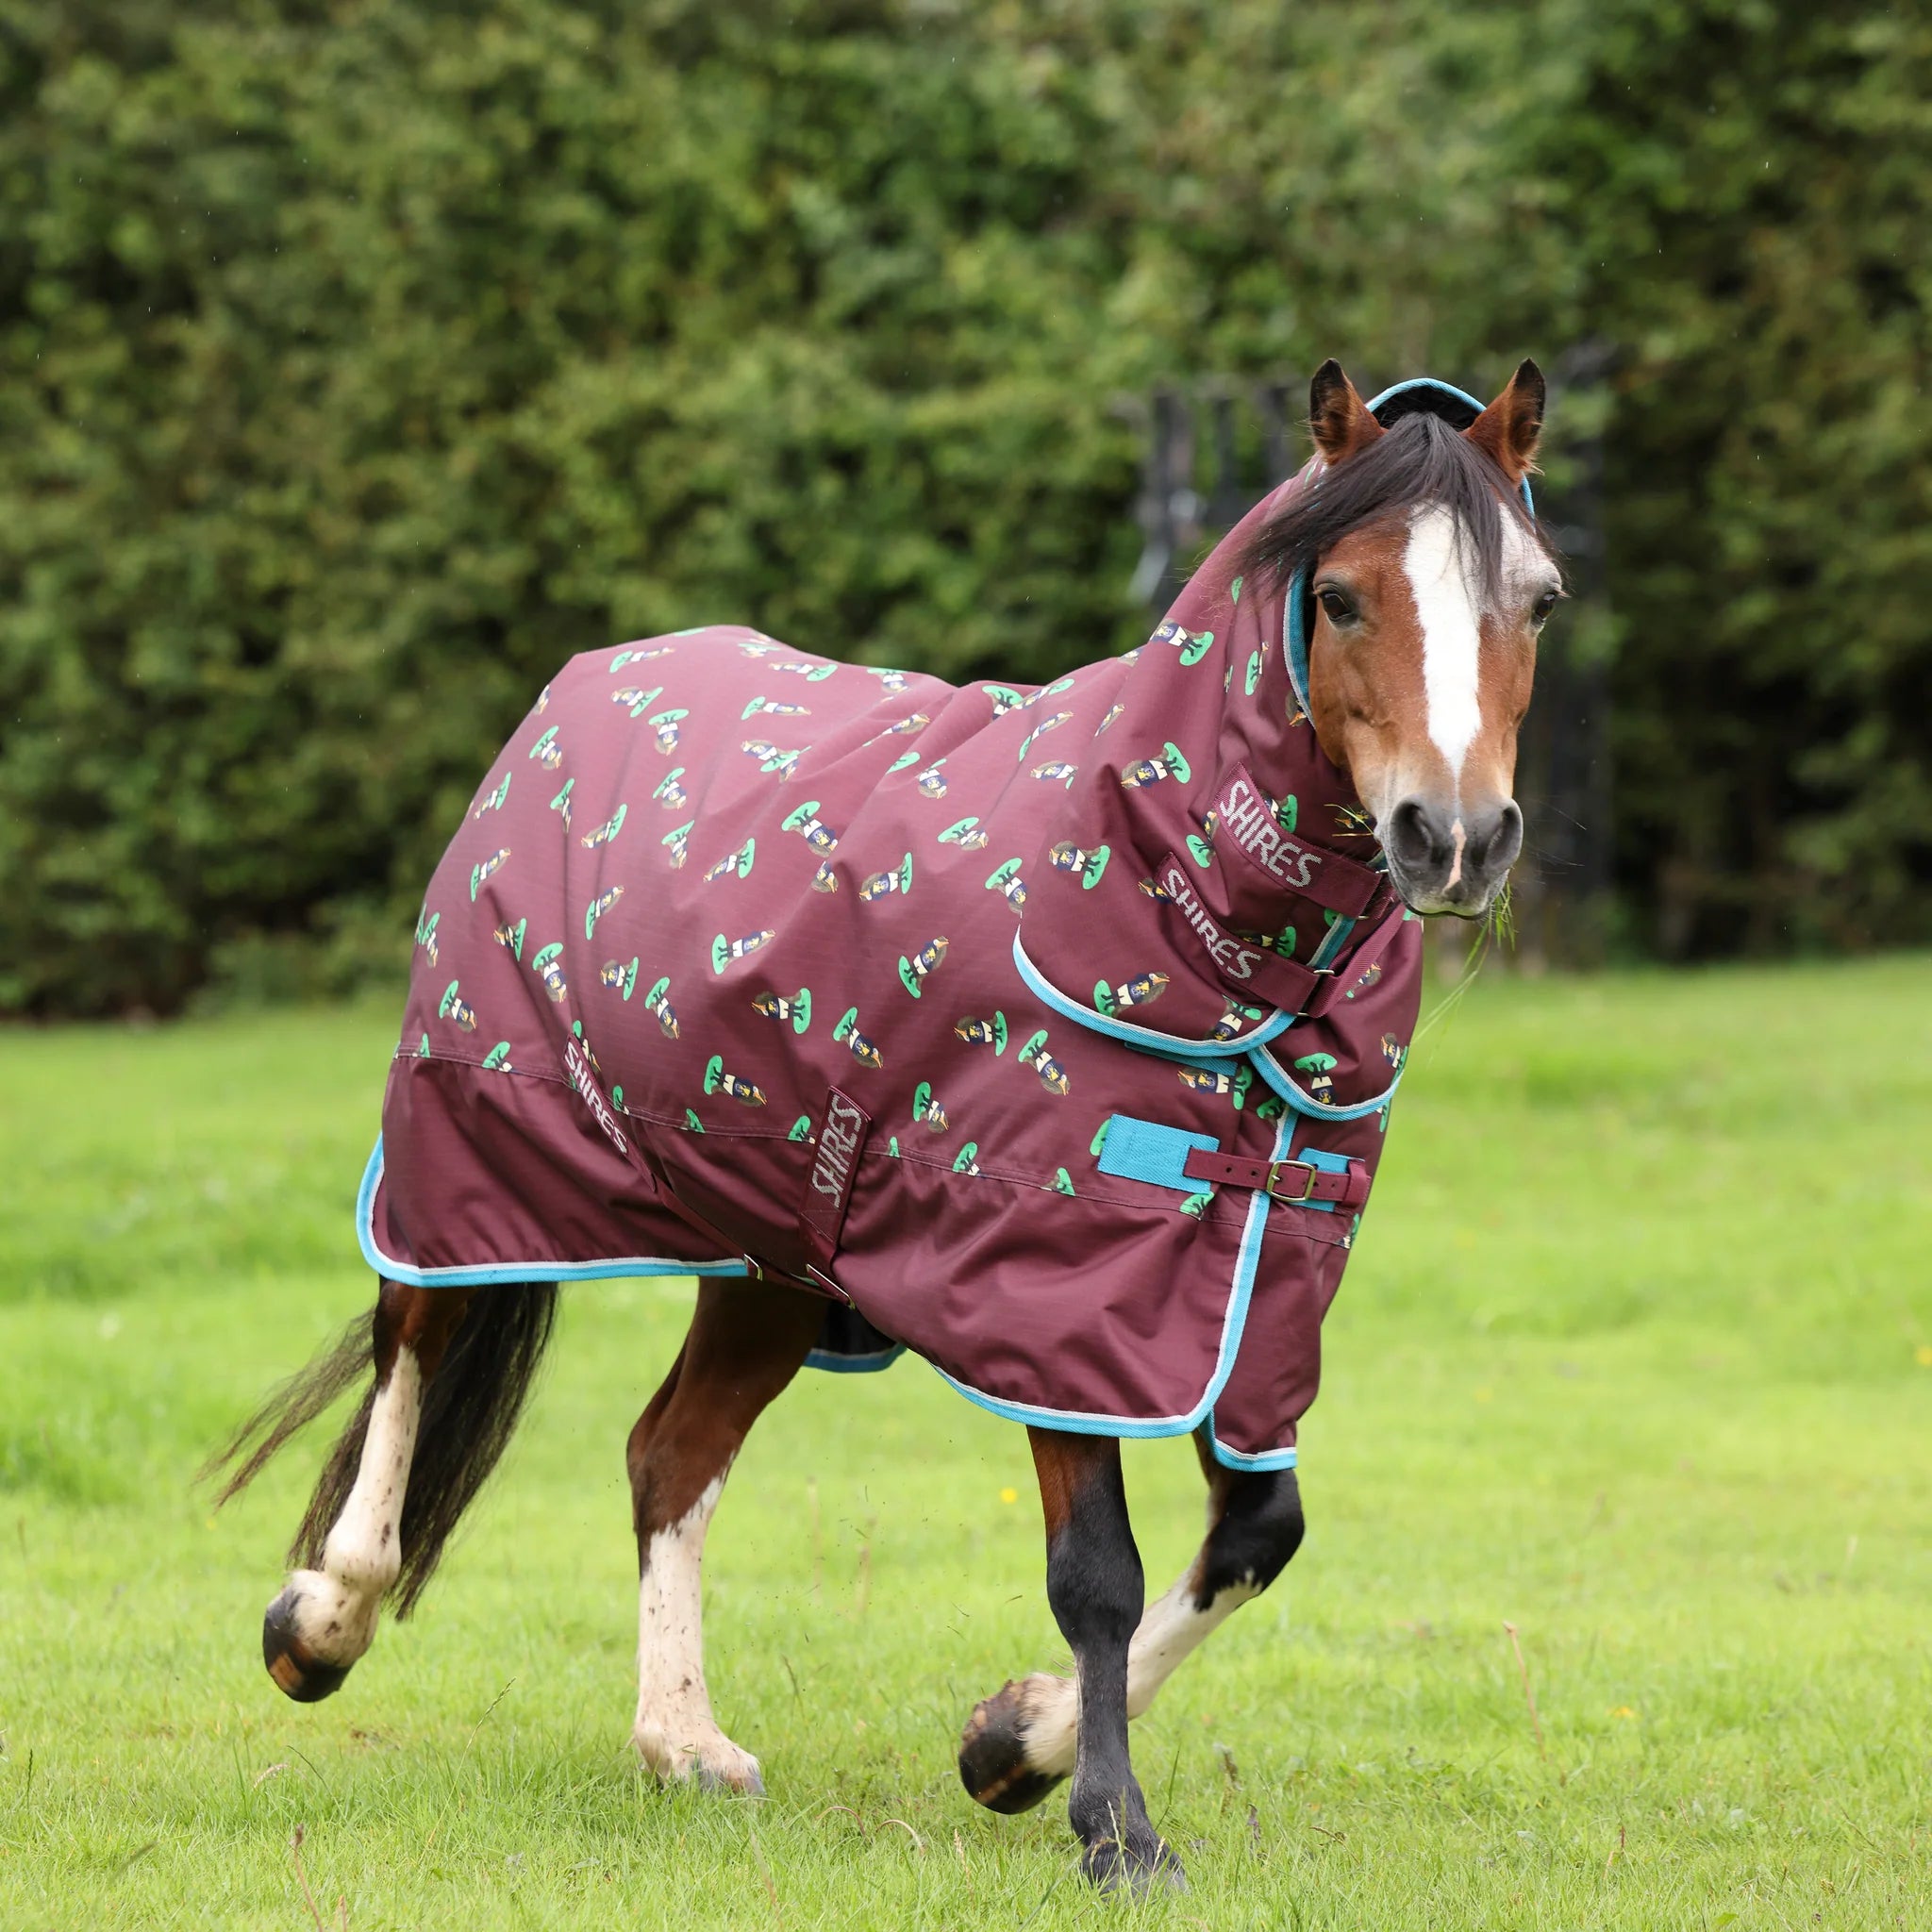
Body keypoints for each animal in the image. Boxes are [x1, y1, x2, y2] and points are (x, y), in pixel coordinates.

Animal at [214, 358, 1555, 1893]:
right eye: (1336, 595)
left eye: (1538, 598)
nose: (1454, 837)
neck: (1171, 904)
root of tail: (574, 693)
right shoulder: (1051, 1293)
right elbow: (1098, 1571)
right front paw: (1113, 1828)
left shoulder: (1244, 1294)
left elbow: (1258, 1533)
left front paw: (1009, 1743)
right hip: (481, 1149)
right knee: (415, 1342)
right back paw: (322, 1619)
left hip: (773, 1255)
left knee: (667, 1452)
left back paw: (683, 1741)